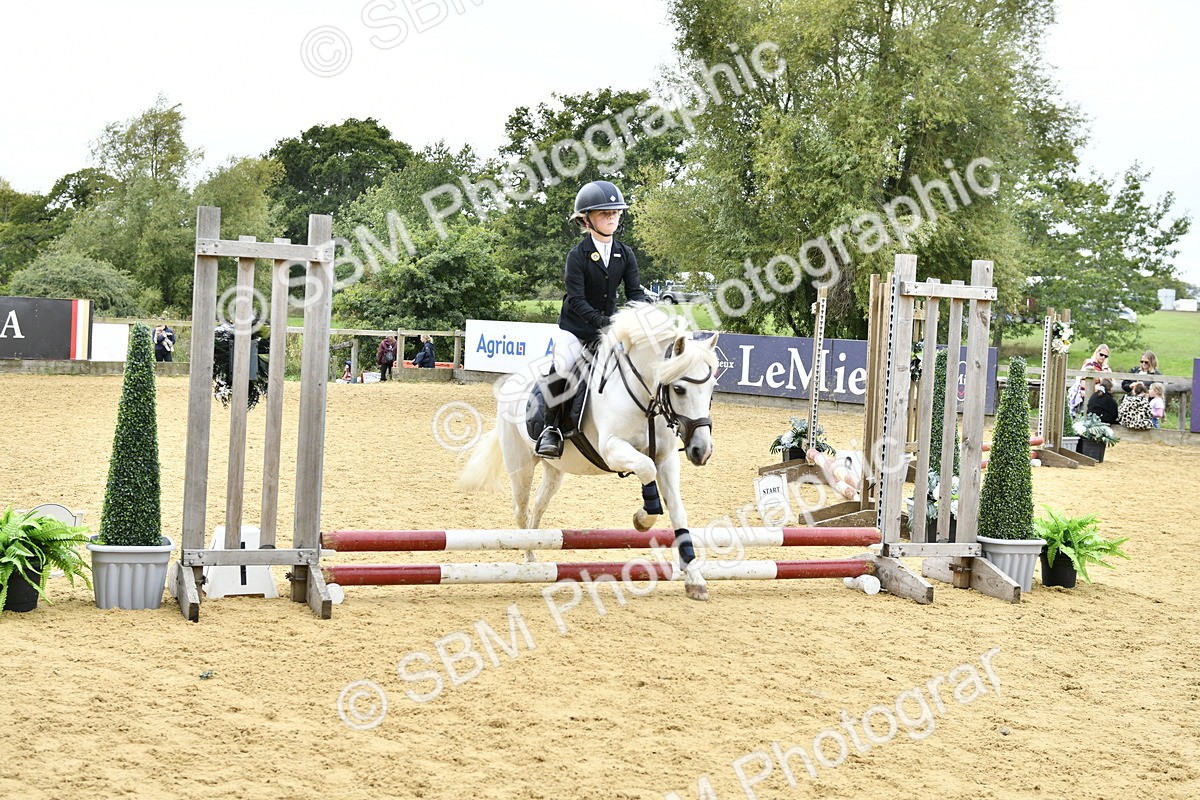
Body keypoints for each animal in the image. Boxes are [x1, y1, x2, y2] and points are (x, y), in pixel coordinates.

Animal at [459, 305, 720, 600]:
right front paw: (643, 519)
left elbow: (677, 510)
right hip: (520, 465)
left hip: (555, 470)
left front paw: (695, 579)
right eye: (679, 389)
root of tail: (512, 381)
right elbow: (645, 468)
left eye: (712, 389)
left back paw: (535, 556)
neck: (644, 400)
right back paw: (529, 560)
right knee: (521, 509)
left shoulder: (666, 459)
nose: (701, 451)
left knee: (538, 506)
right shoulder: (612, 449)